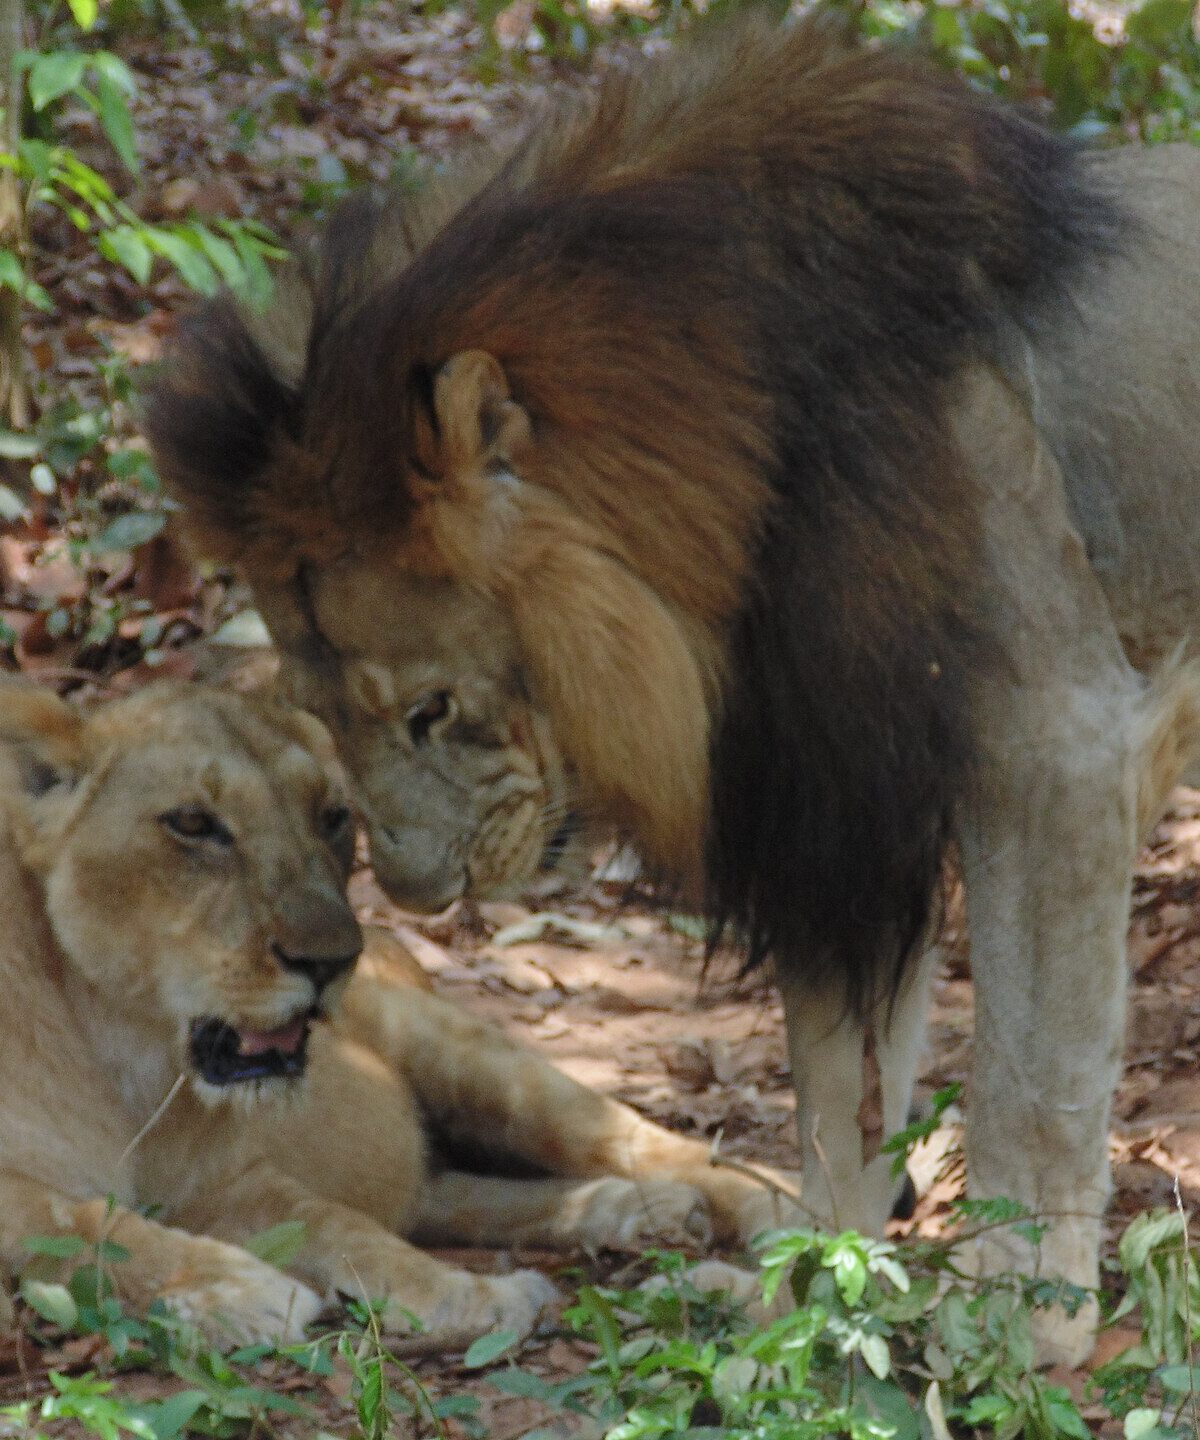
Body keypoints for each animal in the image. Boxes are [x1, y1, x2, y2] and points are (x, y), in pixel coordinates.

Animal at [0, 677, 798, 1347]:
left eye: (331, 817)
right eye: (193, 824)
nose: (330, 960)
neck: (126, 1049)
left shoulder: (225, 1178)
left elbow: (339, 1224)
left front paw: (471, 1299)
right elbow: (73, 1220)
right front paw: (239, 1289)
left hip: (469, 1059)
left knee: (657, 1146)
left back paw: (733, 1209)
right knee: (444, 1194)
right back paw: (638, 1209)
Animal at [143, 16, 1200, 1363]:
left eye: (433, 710)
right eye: (330, 722)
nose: (419, 901)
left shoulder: (1052, 741)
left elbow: (1033, 1072)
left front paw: (1018, 1322)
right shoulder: (826, 788)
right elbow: (840, 1088)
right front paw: (803, 1306)